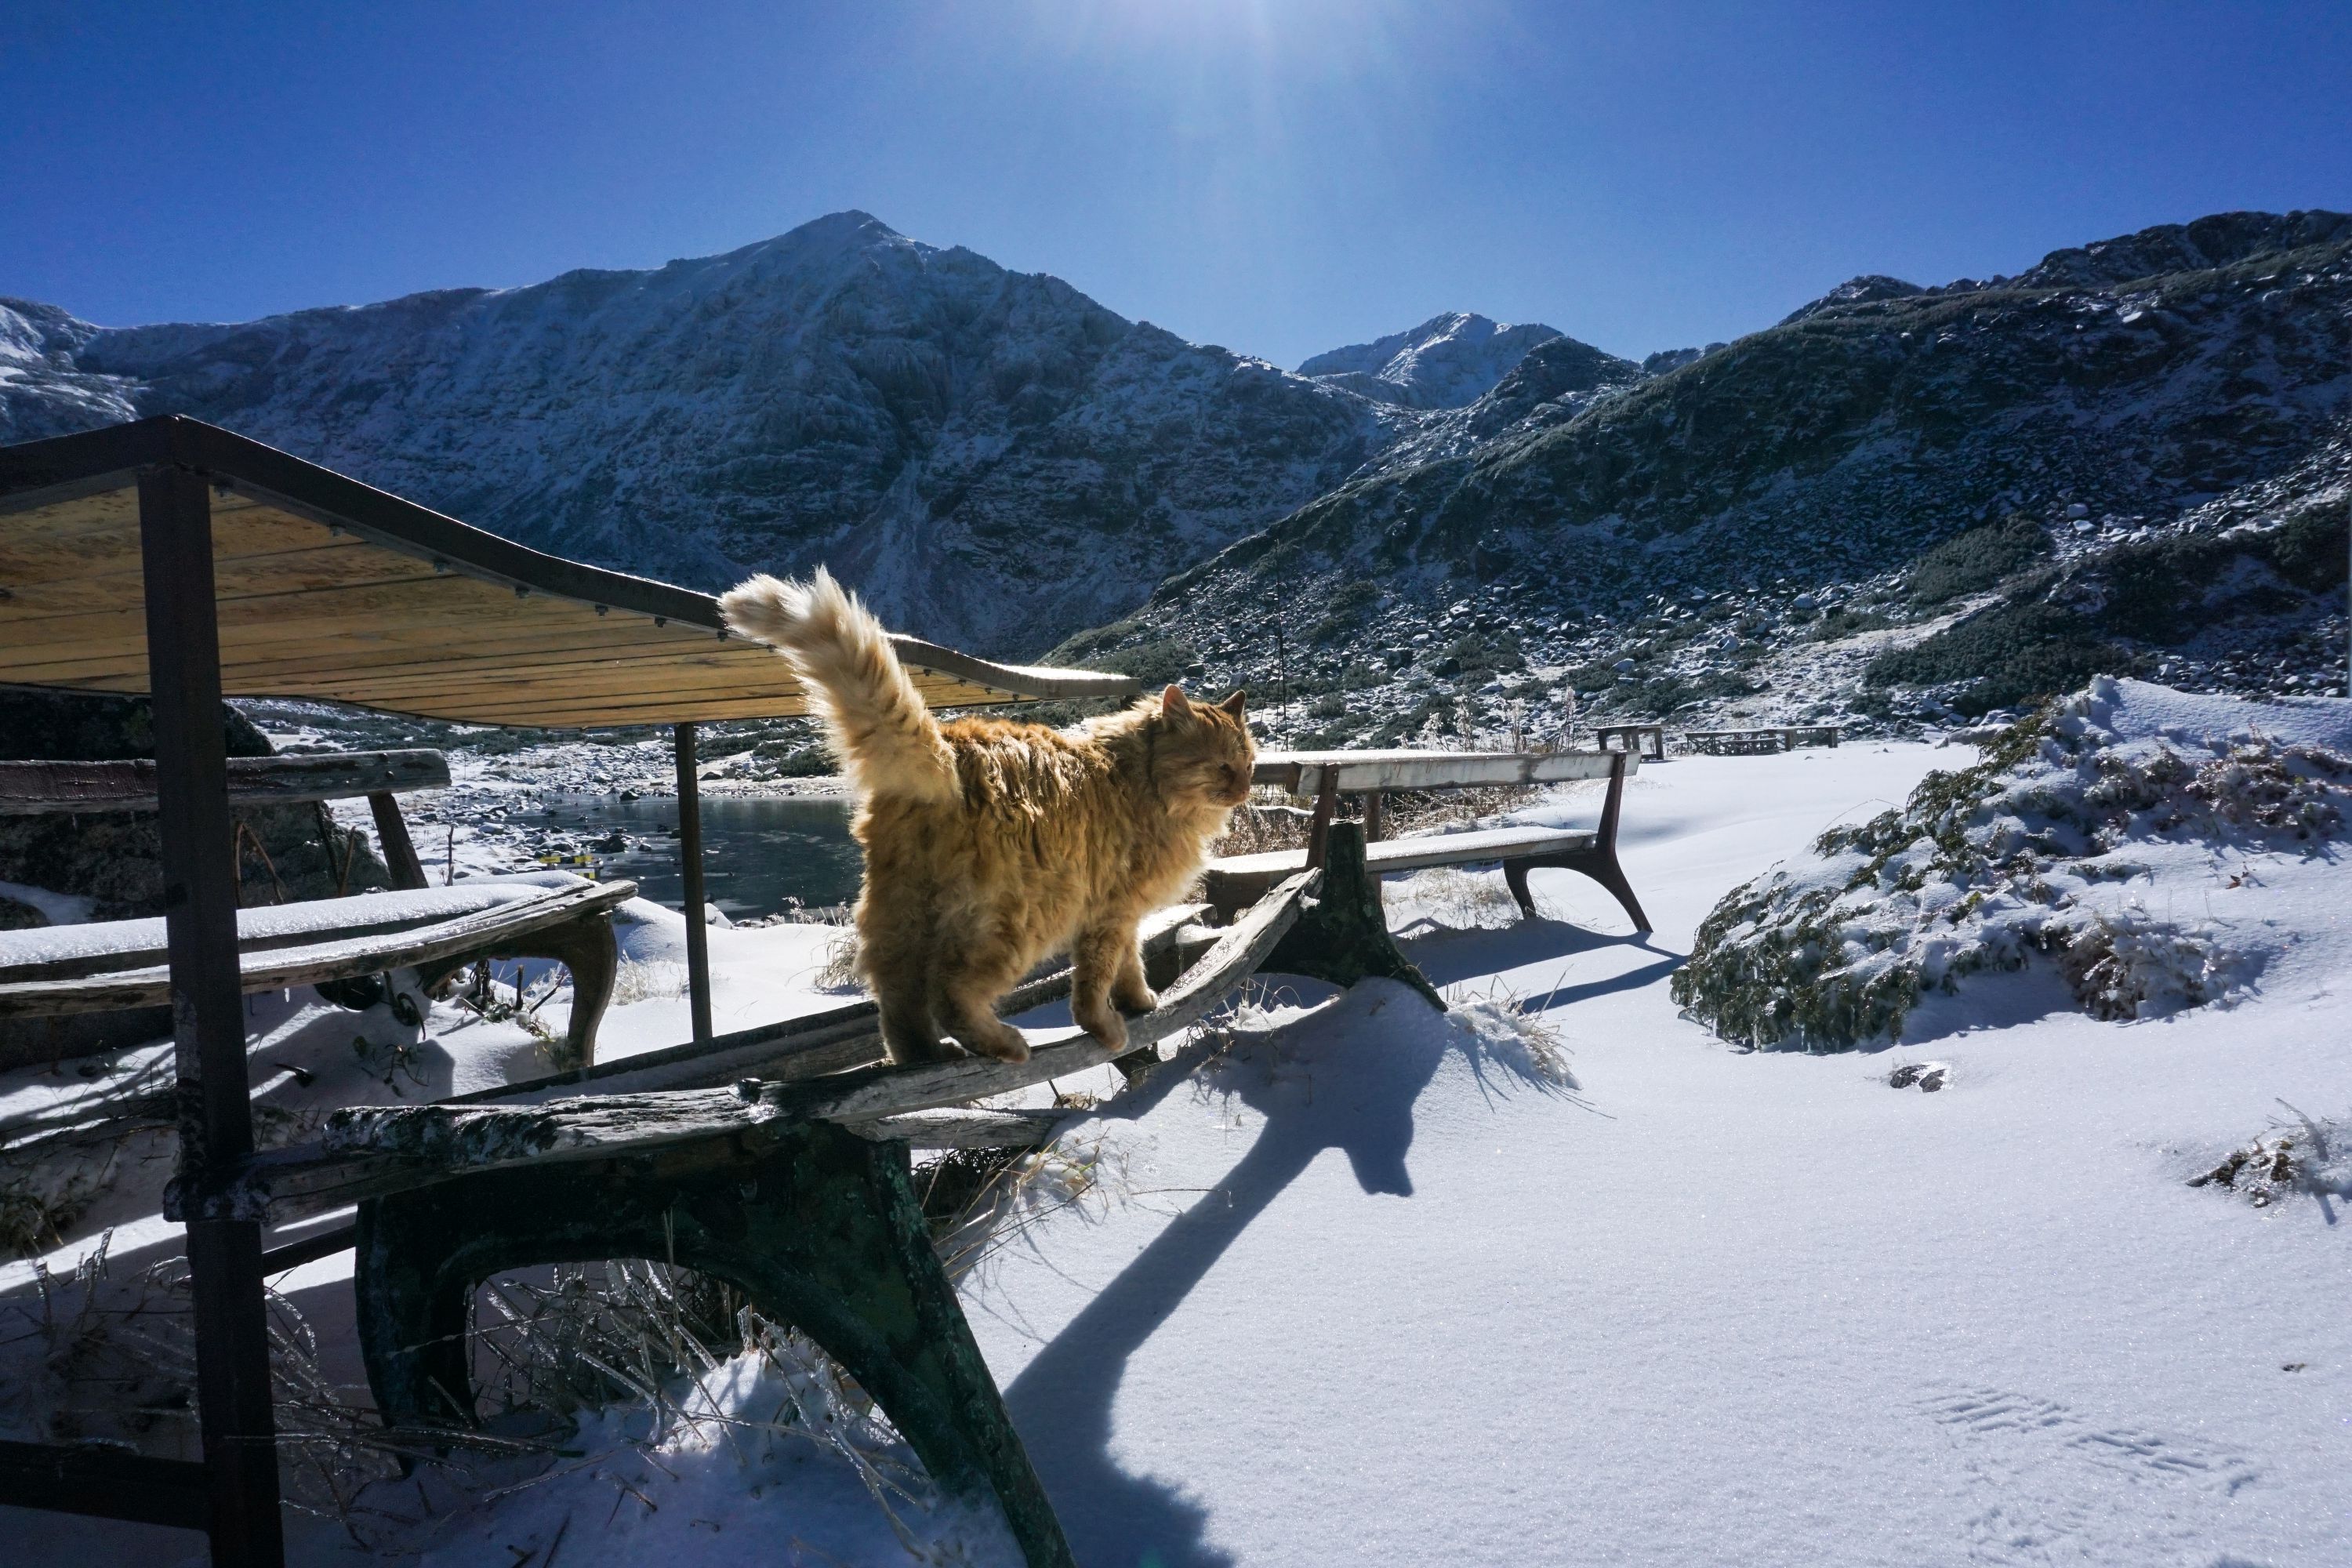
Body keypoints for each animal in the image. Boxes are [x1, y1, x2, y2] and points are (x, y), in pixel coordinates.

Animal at [720, 571, 1261, 1072]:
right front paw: (1107, 1027)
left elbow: (1128, 963)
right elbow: (1096, 981)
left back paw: (922, 1055)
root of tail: (950, 747)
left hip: (904, 912)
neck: (1138, 777)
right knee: (950, 995)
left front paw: (1138, 1002)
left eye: (1249, 764)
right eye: (1222, 767)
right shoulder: (1109, 912)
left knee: (897, 997)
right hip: (1013, 922)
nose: (1245, 789)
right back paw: (1004, 1044)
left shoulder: (1119, 913)